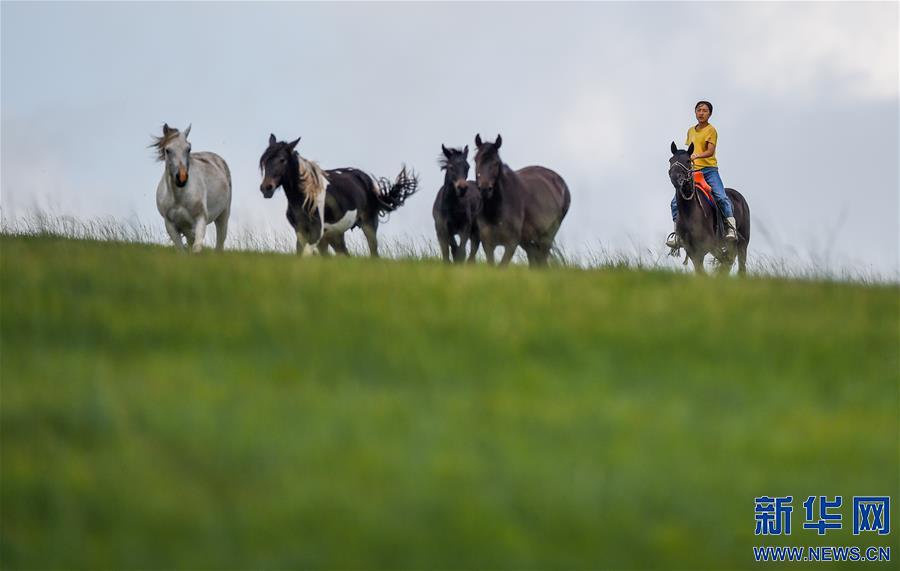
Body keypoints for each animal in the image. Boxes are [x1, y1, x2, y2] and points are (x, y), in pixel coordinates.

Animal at [256, 135, 418, 256]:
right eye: (264, 161)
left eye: (282, 160)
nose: (266, 188)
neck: (305, 197)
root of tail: (367, 180)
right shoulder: (301, 232)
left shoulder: (315, 233)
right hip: (335, 235)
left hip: (368, 225)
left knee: (373, 252)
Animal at [472, 135, 568, 268]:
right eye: (476, 160)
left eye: (496, 163)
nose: (485, 189)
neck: (495, 211)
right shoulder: (487, 243)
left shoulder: (511, 243)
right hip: (528, 240)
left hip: (548, 235)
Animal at [672, 144, 748, 276]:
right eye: (670, 160)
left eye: (688, 161)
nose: (675, 178)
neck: (689, 212)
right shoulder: (693, 251)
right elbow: (701, 272)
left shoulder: (708, 246)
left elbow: (723, 261)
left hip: (743, 243)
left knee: (739, 264)